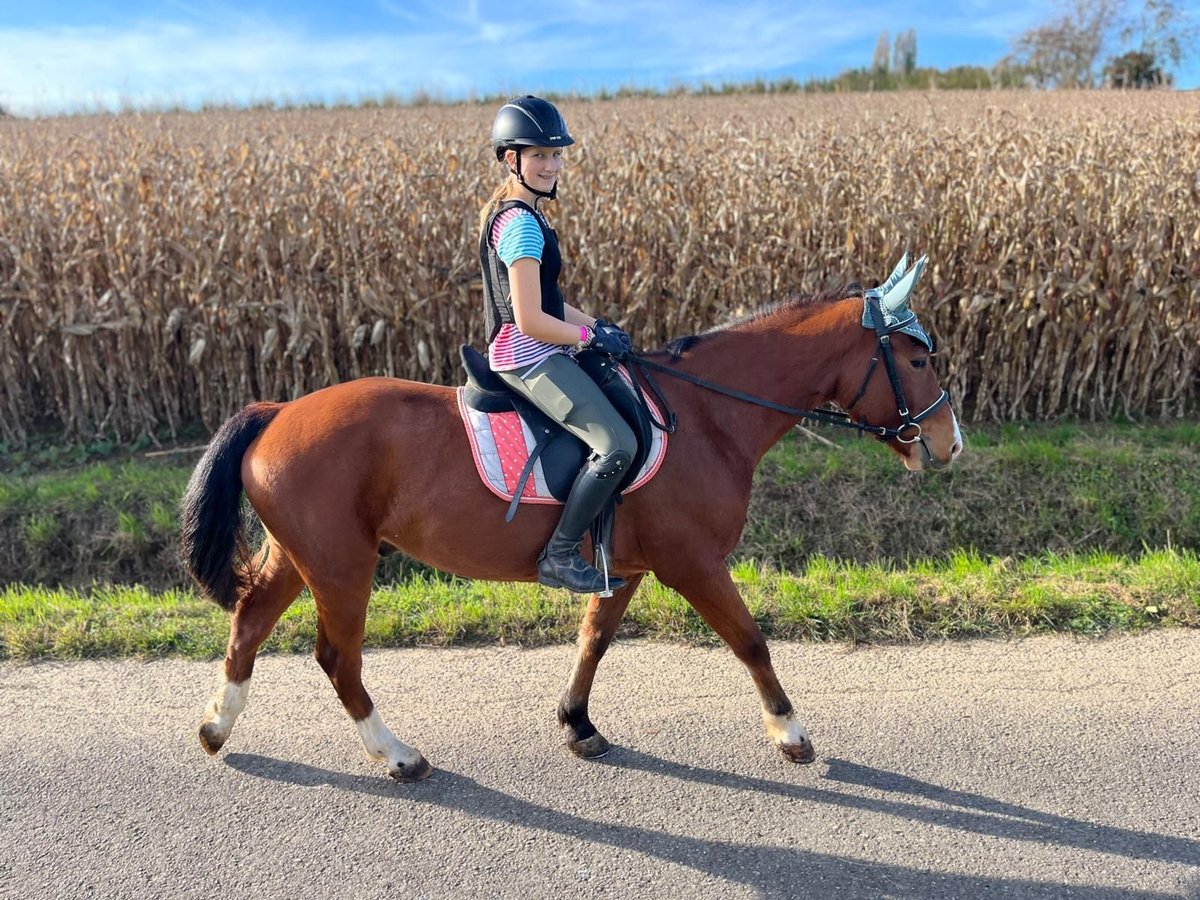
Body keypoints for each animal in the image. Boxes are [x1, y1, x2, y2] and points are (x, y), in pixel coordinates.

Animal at [182, 254, 960, 782]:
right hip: (342, 565)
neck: (709, 415)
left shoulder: (628, 565)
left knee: (249, 623)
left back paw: (218, 728)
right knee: (338, 658)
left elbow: (594, 641)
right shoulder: (692, 563)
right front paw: (790, 733)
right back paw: (398, 756)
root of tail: (278, 411)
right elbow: (750, 642)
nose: (950, 443)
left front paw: (577, 723)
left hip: (300, 555)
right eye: (919, 358)